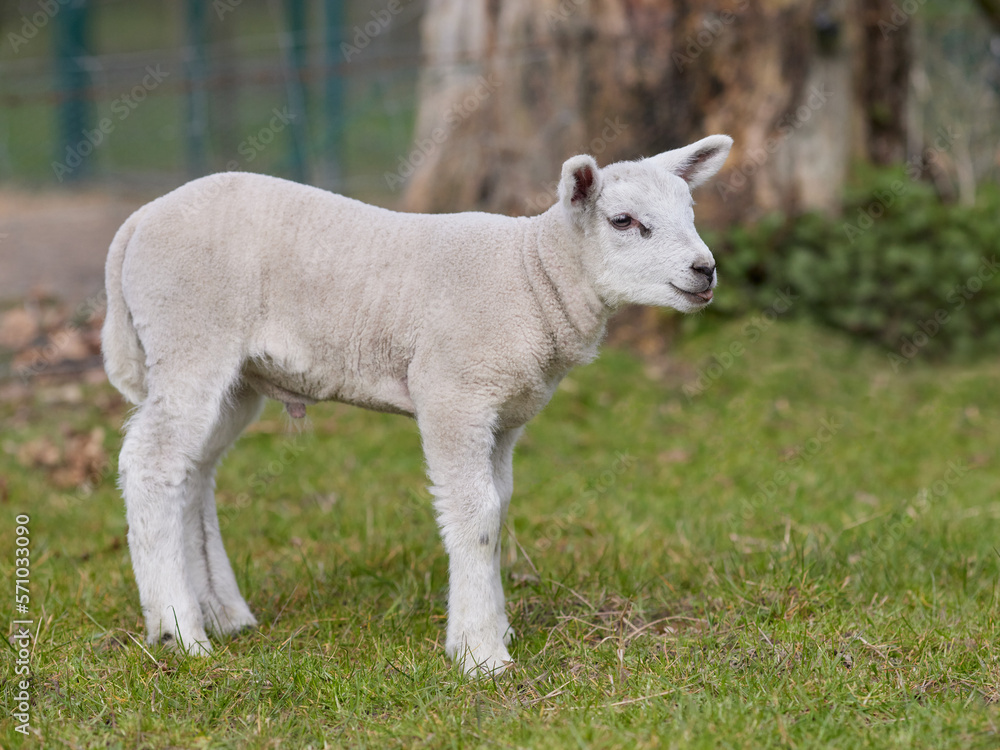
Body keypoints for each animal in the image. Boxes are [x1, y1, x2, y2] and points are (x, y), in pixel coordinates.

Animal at [102, 134, 733, 675]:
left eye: (690, 211)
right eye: (623, 221)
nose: (705, 270)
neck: (533, 276)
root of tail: (136, 222)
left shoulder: (503, 415)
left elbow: (498, 507)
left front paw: (490, 628)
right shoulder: (454, 392)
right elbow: (475, 513)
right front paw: (481, 654)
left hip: (237, 377)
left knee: (192, 473)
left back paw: (224, 615)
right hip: (190, 337)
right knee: (151, 464)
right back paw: (180, 633)